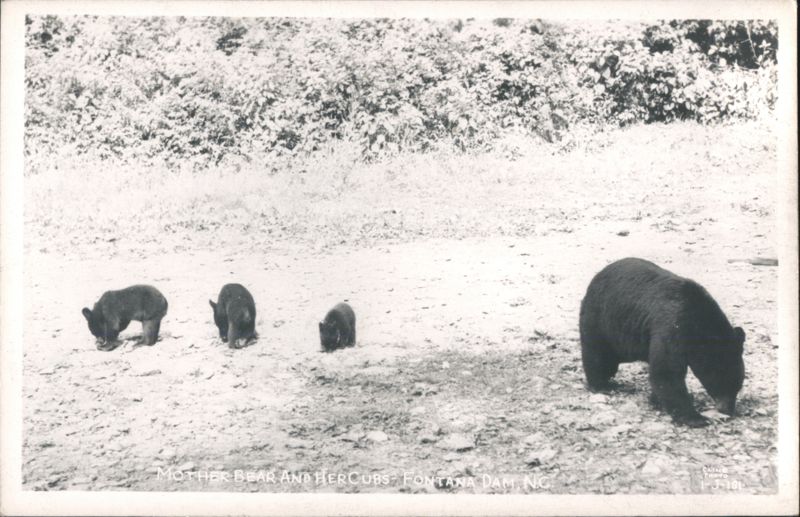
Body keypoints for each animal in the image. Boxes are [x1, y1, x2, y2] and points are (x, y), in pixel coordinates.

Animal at [579, 257, 745, 427]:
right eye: (721, 382)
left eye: (738, 383)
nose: (728, 410)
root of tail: (597, 276)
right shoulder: (672, 326)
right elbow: (667, 371)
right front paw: (696, 417)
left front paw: (656, 400)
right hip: (601, 318)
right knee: (598, 354)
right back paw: (602, 385)